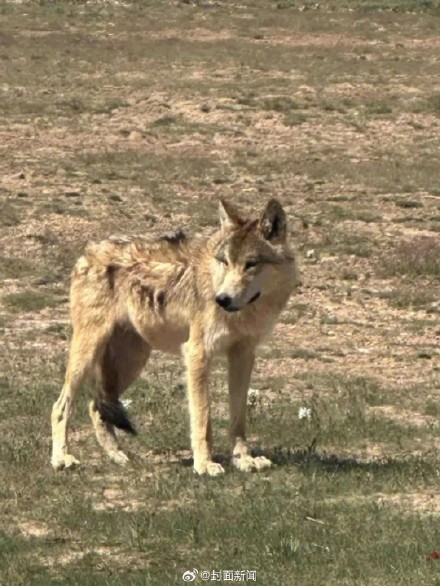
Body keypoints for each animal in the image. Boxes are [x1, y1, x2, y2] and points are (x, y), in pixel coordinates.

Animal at [50, 198, 300, 472]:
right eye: (225, 262)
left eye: (251, 264)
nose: (222, 299)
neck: (246, 312)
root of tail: (88, 250)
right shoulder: (197, 354)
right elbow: (203, 418)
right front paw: (205, 464)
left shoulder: (243, 355)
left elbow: (238, 418)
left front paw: (243, 459)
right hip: (88, 354)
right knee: (60, 405)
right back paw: (61, 458)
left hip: (131, 362)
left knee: (96, 406)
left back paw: (118, 456)